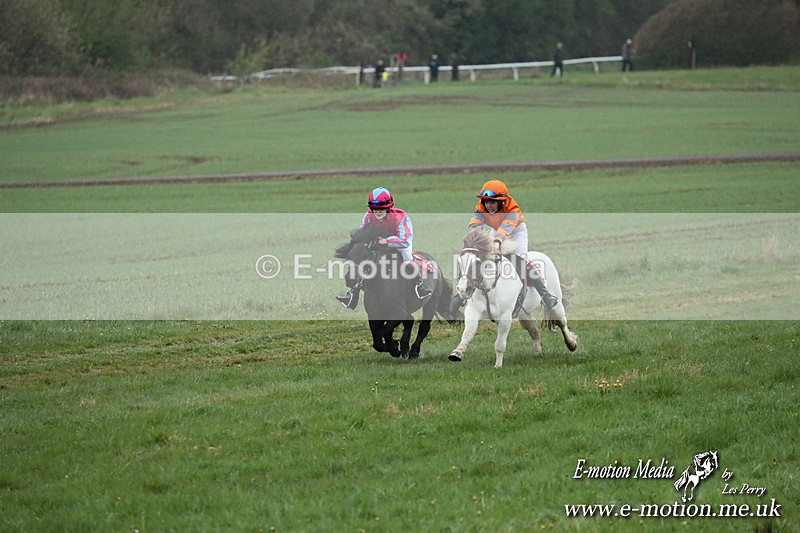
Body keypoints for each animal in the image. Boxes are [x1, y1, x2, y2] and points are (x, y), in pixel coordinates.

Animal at [334, 224, 459, 359]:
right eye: (350, 255)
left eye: (366, 255)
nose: (350, 279)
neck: (381, 286)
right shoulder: (374, 314)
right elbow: (377, 342)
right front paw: (395, 347)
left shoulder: (398, 311)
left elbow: (385, 331)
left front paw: (394, 348)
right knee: (410, 320)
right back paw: (405, 348)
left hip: (432, 302)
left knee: (424, 327)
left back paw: (413, 351)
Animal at [449, 230, 578, 368]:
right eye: (459, 262)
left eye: (478, 262)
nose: (463, 289)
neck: (490, 287)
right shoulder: (473, 311)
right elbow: (468, 332)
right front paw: (457, 353)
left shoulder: (505, 316)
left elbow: (500, 343)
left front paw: (498, 366)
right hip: (523, 312)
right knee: (533, 328)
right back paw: (537, 352)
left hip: (554, 300)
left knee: (561, 320)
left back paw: (571, 344)